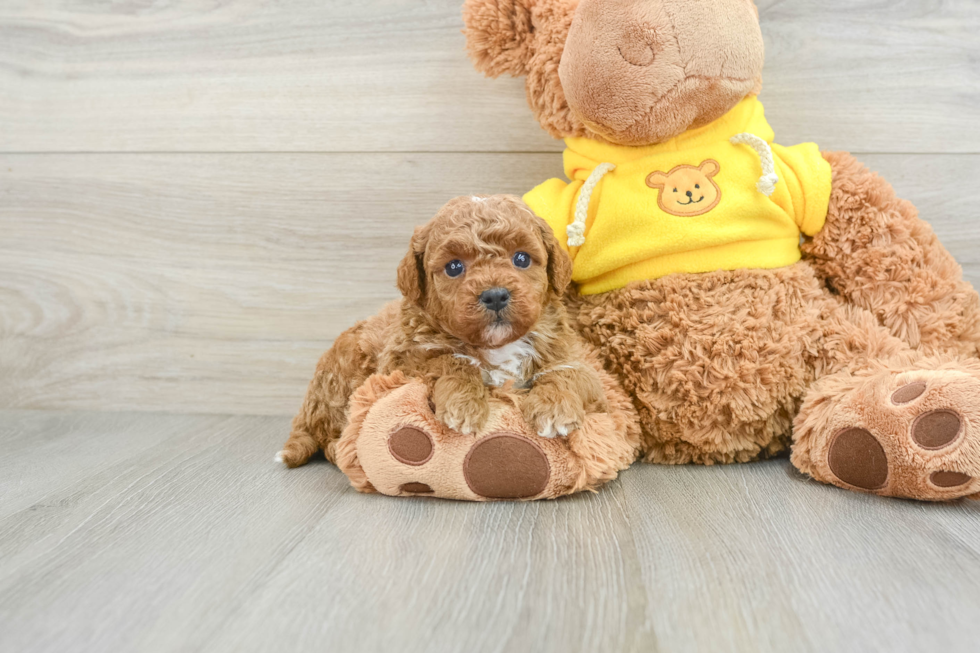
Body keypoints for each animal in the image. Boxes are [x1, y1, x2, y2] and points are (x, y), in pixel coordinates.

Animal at [280, 195, 608, 468]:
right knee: (331, 437)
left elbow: (567, 373)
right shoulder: (403, 362)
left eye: (522, 258)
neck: (496, 346)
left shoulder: (574, 358)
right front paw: (464, 405)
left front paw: (555, 408)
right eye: (454, 267)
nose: (495, 295)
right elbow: (451, 360)